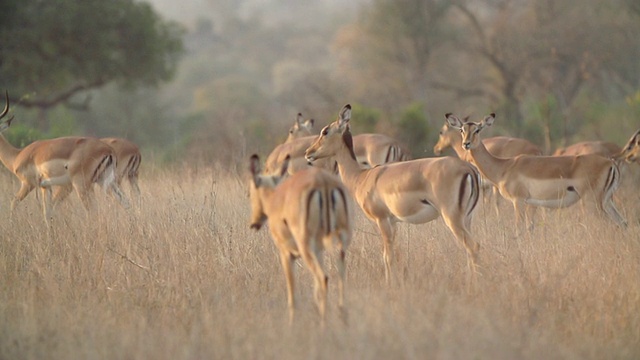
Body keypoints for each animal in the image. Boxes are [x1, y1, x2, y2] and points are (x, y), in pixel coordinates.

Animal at [0, 91, 129, 224]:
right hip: (107, 182)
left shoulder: (27, 184)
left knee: (93, 210)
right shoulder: (46, 187)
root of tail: (109, 150)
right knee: (125, 202)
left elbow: (13, 203)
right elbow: (47, 213)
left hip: (82, 185)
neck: (17, 156)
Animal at [249, 154, 350, 324]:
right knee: (340, 279)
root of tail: (323, 181)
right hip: (340, 244)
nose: (254, 223)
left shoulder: (286, 253)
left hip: (306, 247)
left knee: (323, 278)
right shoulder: (319, 251)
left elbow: (292, 296)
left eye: (250, 193)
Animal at [306, 103, 480, 282]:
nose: (308, 153)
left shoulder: (381, 219)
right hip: (467, 218)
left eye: (325, 131)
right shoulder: (393, 222)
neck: (361, 177)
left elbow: (387, 257)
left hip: (452, 218)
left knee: (473, 246)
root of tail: (469, 169)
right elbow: (393, 255)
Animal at [444, 113, 624, 231]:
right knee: (622, 223)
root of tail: (611, 162)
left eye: (478, 130)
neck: (504, 167)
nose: (466, 144)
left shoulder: (518, 201)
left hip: (592, 203)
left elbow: (519, 228)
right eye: (461, 130)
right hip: (607, 201)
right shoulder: (531, 204)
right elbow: (530, 227)